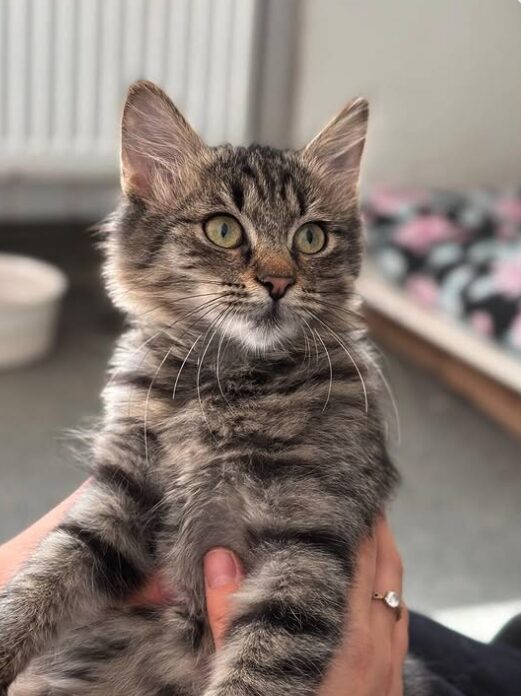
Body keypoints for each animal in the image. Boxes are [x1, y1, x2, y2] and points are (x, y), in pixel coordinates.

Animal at [0, 80, 424, 692]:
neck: (228, 380)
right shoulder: (119, 500)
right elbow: (42, 578)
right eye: (223, 229)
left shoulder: (308, 537)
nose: (278, 281)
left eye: (311, 238)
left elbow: (261, 665)